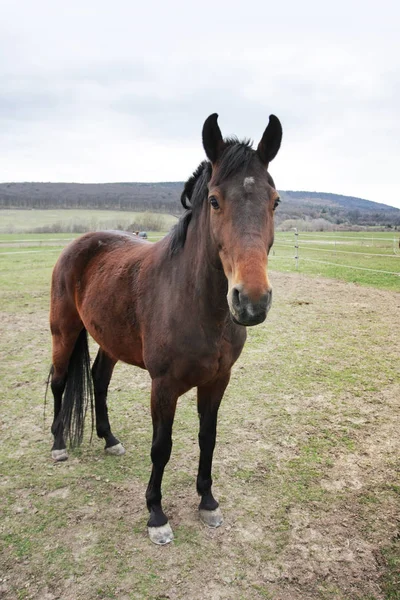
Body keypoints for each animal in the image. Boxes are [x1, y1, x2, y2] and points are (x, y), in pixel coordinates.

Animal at [48, 112, 282, 544]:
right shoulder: (164, 385)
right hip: (64, 331)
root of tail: (79, 243)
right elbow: (162, 446)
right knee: (58, 381)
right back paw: (58, 444)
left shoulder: (218, 381)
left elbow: (208, 438)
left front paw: (207, 502)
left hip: (109, 341)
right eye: (214, 200)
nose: (251, 301)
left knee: (98, 379)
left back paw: (109, 440)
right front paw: (156, 514)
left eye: (274, 201)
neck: (196, 305)